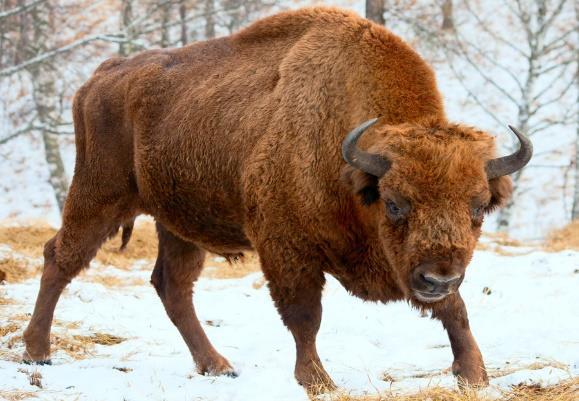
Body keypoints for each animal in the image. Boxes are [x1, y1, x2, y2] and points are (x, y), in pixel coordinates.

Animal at [26, 5, 536, 394]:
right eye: (394, 202)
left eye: (478, 207)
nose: (437, 277)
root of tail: (101, 76)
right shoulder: (286, 249)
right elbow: (305, 317)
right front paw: (317, 381)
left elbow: (456, 309)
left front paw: (474, 374)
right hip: (98, 196)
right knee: (60, 258)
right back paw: (36, 353)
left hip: (177, 222)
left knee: (172, 286)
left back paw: (217, 365)